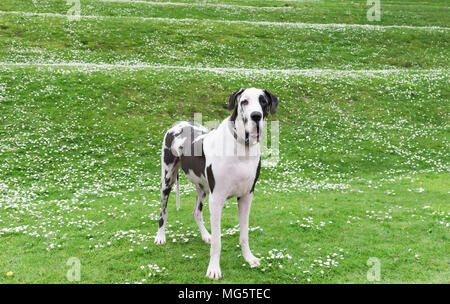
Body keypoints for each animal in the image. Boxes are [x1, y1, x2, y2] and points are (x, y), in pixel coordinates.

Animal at [156, 87, 280, 278]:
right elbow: (217, 241)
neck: (242, 148)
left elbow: (244, 234)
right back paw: (160, 236)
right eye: (244, 101)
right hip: (167, 179)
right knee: (163, 211)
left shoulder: (246, 197)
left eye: (263, 101)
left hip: (202, 188)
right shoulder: (217, 200)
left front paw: (248, 258)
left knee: (196, 212)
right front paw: (214, 268)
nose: (256, 116)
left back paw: (205, 235)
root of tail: (178, 123)